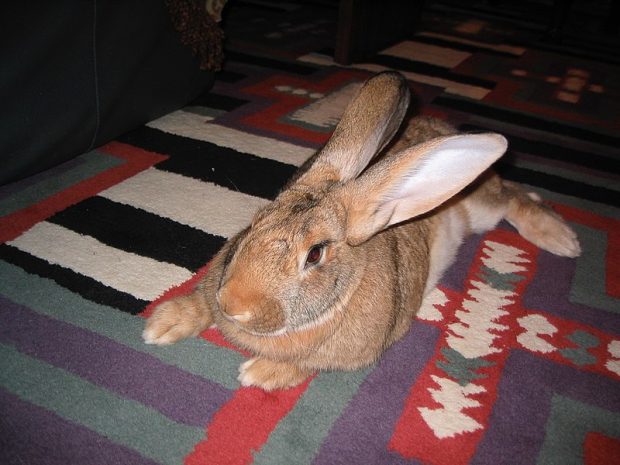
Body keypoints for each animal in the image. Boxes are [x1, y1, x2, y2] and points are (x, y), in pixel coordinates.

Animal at [143, 70, 580, 390]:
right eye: (253, 224)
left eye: (315, 254)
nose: (234, 305)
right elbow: (199, 303)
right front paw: (163, 324)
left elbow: (306, 365)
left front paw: (260, 373)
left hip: (480, 206)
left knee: (512, 198)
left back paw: (562, 240)